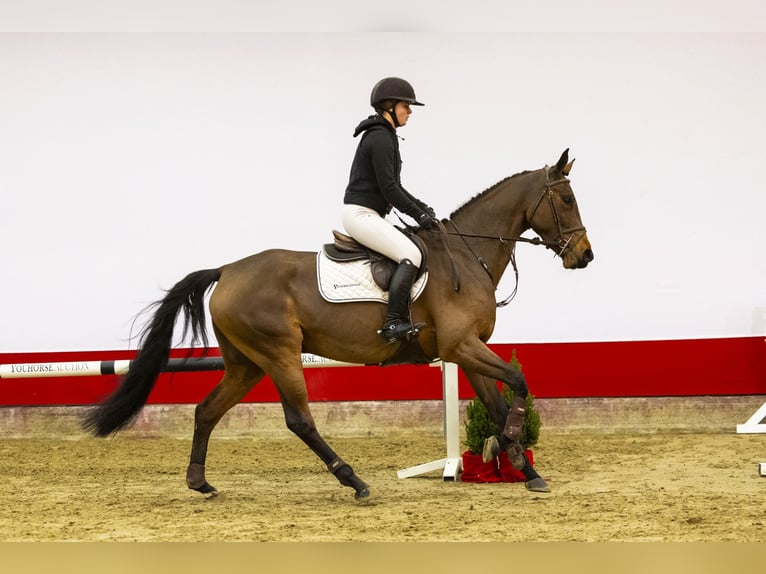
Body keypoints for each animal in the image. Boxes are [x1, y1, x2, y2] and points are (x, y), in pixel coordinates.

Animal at [84, 151, 596, 502]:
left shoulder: (467, 351)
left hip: (246, 363)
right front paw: (506, 446)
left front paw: (524, 469)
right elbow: (519, 381)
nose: (584, 256)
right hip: (279, 354)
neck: (467, 256)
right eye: (567, 199)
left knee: (207, 411)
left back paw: (200, 482)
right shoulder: (462, 346)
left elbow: (497, 401)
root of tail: (227, 270)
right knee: (299, 420)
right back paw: (354, 481)